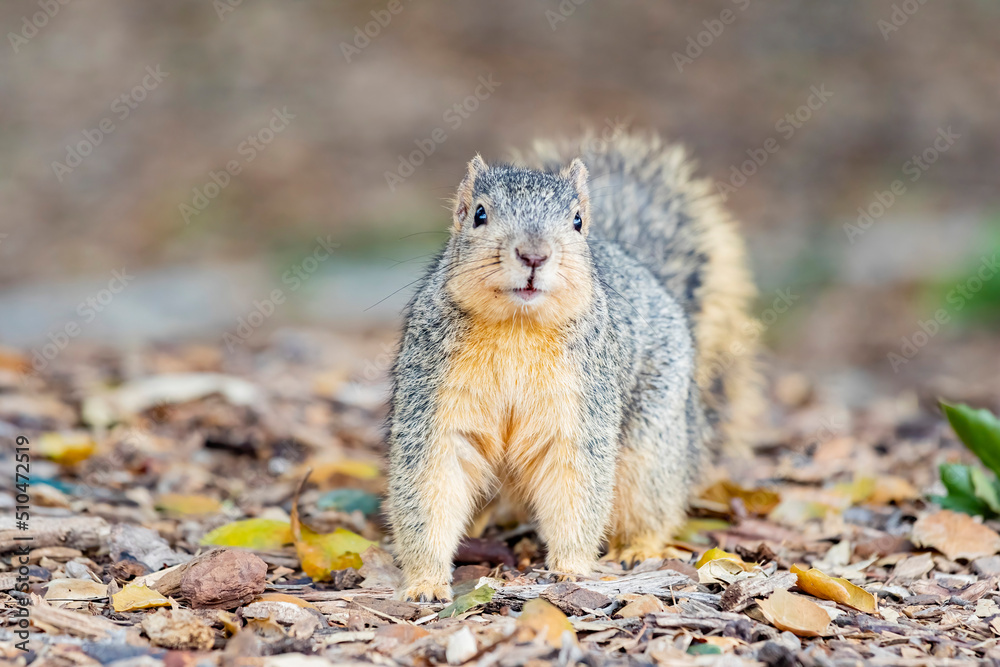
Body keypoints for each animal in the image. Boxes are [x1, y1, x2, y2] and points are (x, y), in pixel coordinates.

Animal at [386, 131, 760, 602]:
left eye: (578, 221)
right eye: (479, 214)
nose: (534, 255)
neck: (518, 326)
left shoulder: (581, 407)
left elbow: (576, 488)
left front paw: (570, 569)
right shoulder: (435, 402)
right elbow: (430, 486)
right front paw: (425, 583)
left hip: (652, 445)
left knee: (652, 503)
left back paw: (637, 548)